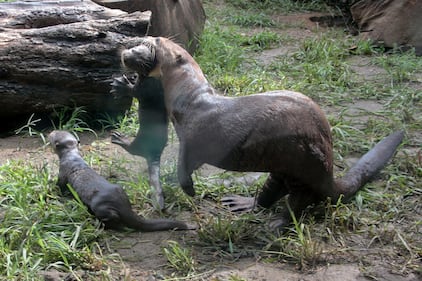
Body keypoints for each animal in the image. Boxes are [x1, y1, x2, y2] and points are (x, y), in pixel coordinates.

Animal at [48, 130, 194, 231]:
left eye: (53, 135)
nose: (50, 132)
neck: (72, 158)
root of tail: (122, 204)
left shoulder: (63, 172)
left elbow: (60, 186)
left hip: (99, 205)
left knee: (112, 216)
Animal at [119, 36, 406, 229]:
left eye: (158, 41)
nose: (146, 38)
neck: (191, 100)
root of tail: (329, 173)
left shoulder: (193, 137)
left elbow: (184, 164)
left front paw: (189, 189)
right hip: (282, 170)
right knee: (271, 192)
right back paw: (245, 204)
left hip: (305, 168)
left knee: (301, 201)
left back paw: (278, 223)